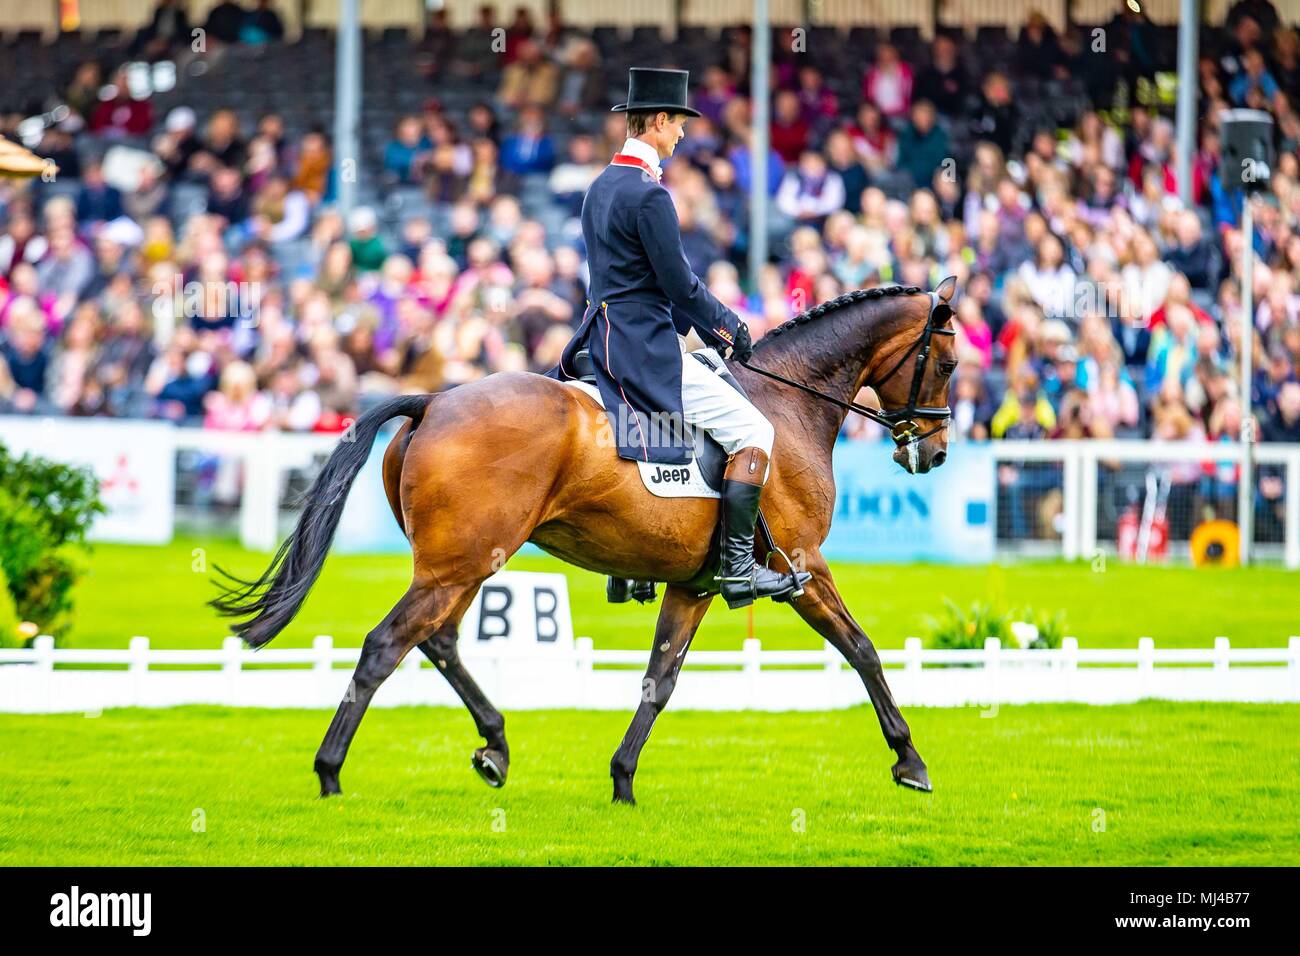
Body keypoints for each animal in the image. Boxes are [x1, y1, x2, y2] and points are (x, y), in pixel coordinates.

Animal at [213, 282, 961, 801]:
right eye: (950, 364)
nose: (934, 453)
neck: (791, 401)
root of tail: (434, 400)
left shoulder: (695, 584)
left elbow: (661, 679)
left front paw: (623, 779)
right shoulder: (803, 567)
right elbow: (862, 650)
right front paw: (911, 762)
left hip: (465, 565)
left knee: (438, 641)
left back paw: (494, 746)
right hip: (457, 566)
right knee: (385, 646)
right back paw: (331, 773)